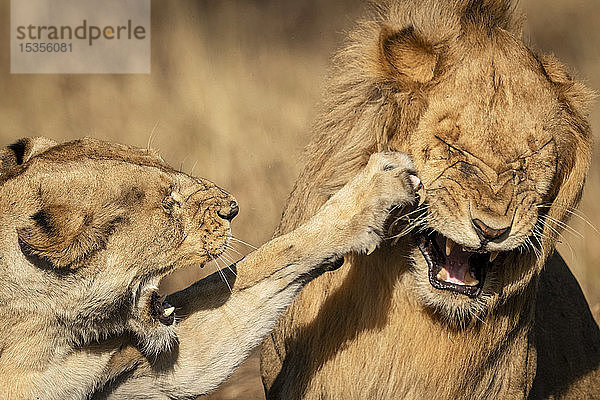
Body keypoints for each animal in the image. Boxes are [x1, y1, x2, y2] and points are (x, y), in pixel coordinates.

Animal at [0, 136, 420, 398]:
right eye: (168, 204)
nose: (232, 208)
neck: (42, 337)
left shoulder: (135, 369)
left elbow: (273, 257)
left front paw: (378, 190)